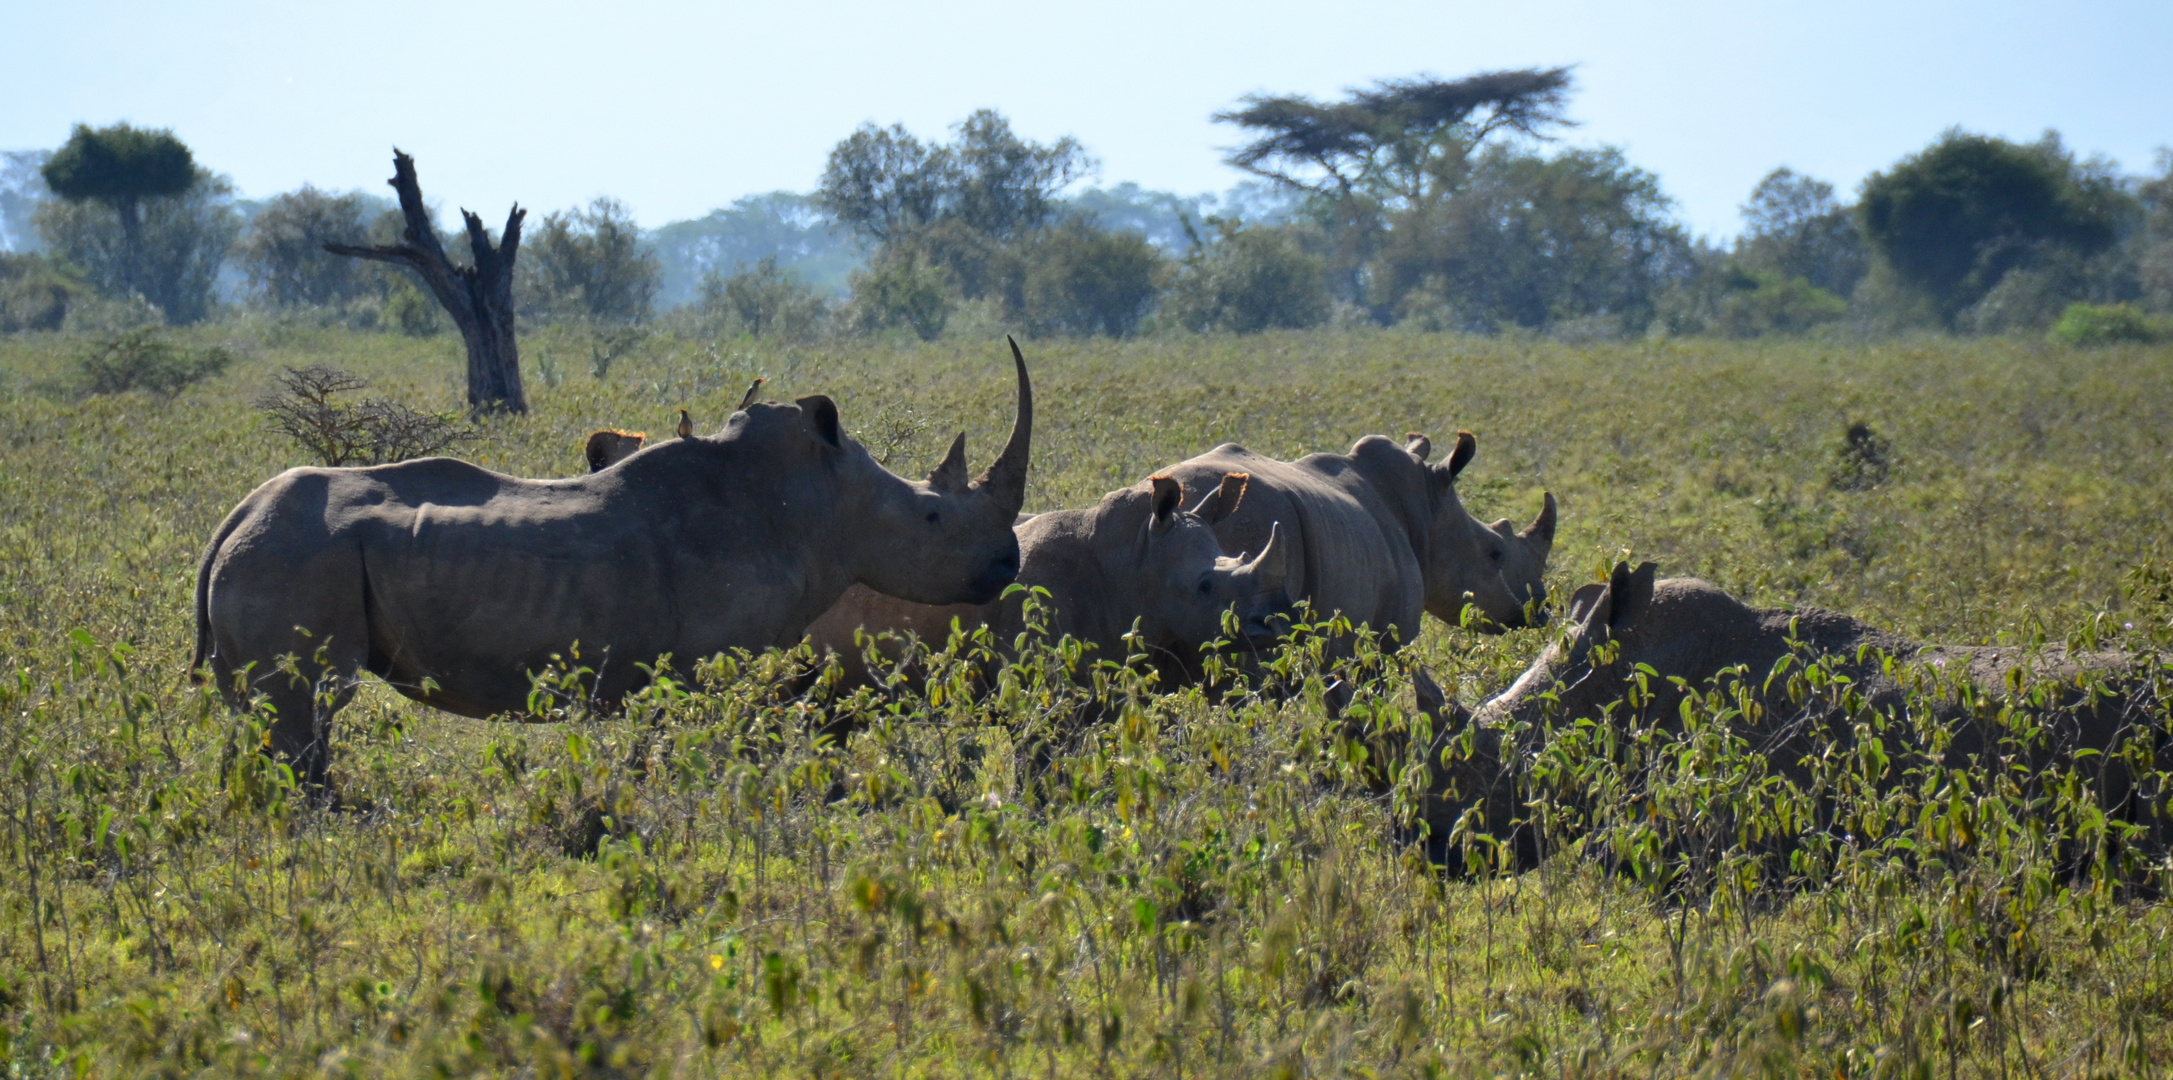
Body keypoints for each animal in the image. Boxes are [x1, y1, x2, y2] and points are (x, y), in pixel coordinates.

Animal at [193, 341, 1034, 777]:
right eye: (932, 517)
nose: (1009, 562)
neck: (821, 504)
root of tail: (231, 521)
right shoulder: (708, 665)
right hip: (296, 558)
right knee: (305, 715)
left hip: (277, 555)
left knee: (263, 718)